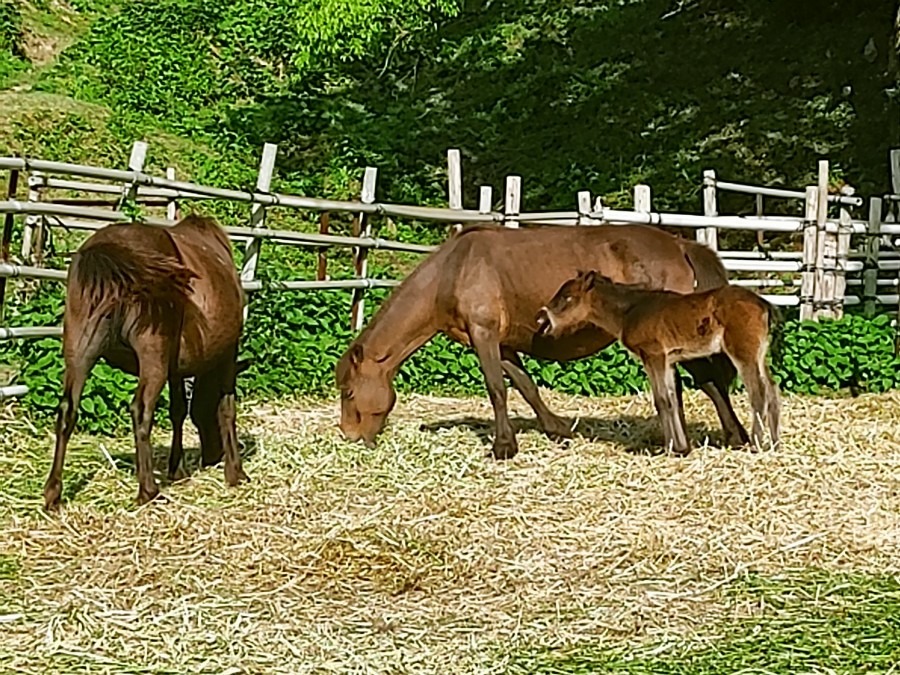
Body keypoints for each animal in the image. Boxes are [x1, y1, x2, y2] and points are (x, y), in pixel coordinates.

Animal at [44, 214, 248, 510]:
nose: (213, 456)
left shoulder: (176, 368)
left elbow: (178, 411)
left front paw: (177, 468)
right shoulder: (227, 356)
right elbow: (226, 408)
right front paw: (235, 471)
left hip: (79, 350)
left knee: (67, 410)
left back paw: (53, 493)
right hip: (152, 357)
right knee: (141, 410)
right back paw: (148, 489)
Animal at [334, 224, 748, 462]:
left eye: (349, 393)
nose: (350, 436)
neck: (453, 271)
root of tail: (681, 244)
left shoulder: (484, 334)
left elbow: (497, 389)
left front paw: (503, 447)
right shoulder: (499, 343)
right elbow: (525, 385)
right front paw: (557, 430)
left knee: (711, 383)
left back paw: (732, 437)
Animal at [536, 270, 780, 454]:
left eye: (567, 297)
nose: (541, 317)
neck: (629, 312)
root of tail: (763, 304)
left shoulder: (653, 354)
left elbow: (661, 399)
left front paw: (671, 448)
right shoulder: (668, 359)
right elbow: (671, 398)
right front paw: (681, 447)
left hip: (742, 351)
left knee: (758, 392)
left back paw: (757, 444)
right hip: (759, 352)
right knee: (772, 388)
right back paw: (775, 442)